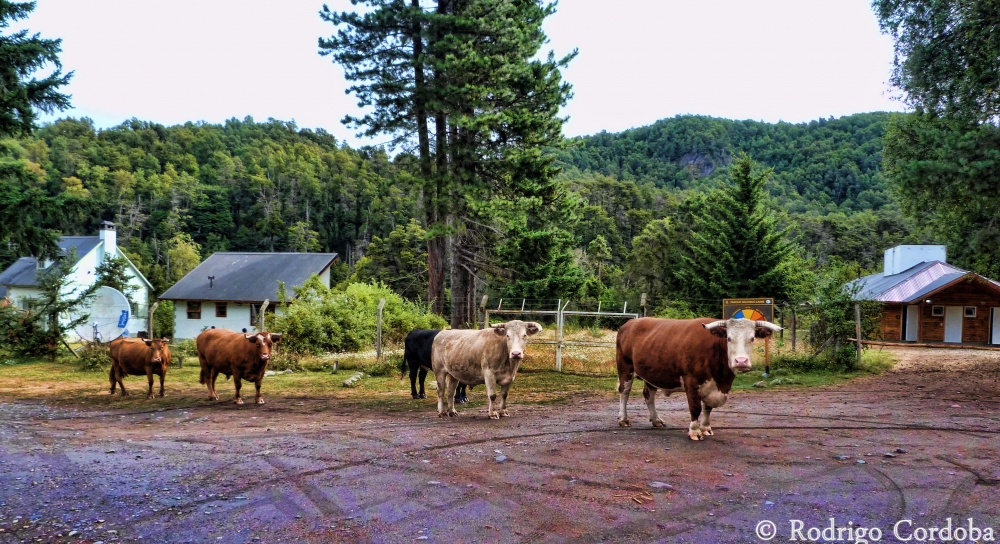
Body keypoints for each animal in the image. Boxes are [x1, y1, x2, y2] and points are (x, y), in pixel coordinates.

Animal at [612, 316, 784, 440]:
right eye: (728, 338)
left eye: (752, 338)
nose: (741, 361)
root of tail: (631, 322)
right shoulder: (691, 381)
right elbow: (695, 407)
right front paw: (695, 431)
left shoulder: (713, 386)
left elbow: (708, 408)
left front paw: (706, 428)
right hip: (625, 367)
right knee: (624, 392)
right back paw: (623, 419)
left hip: (651, 372)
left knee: (649, 395)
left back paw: (656, 420)